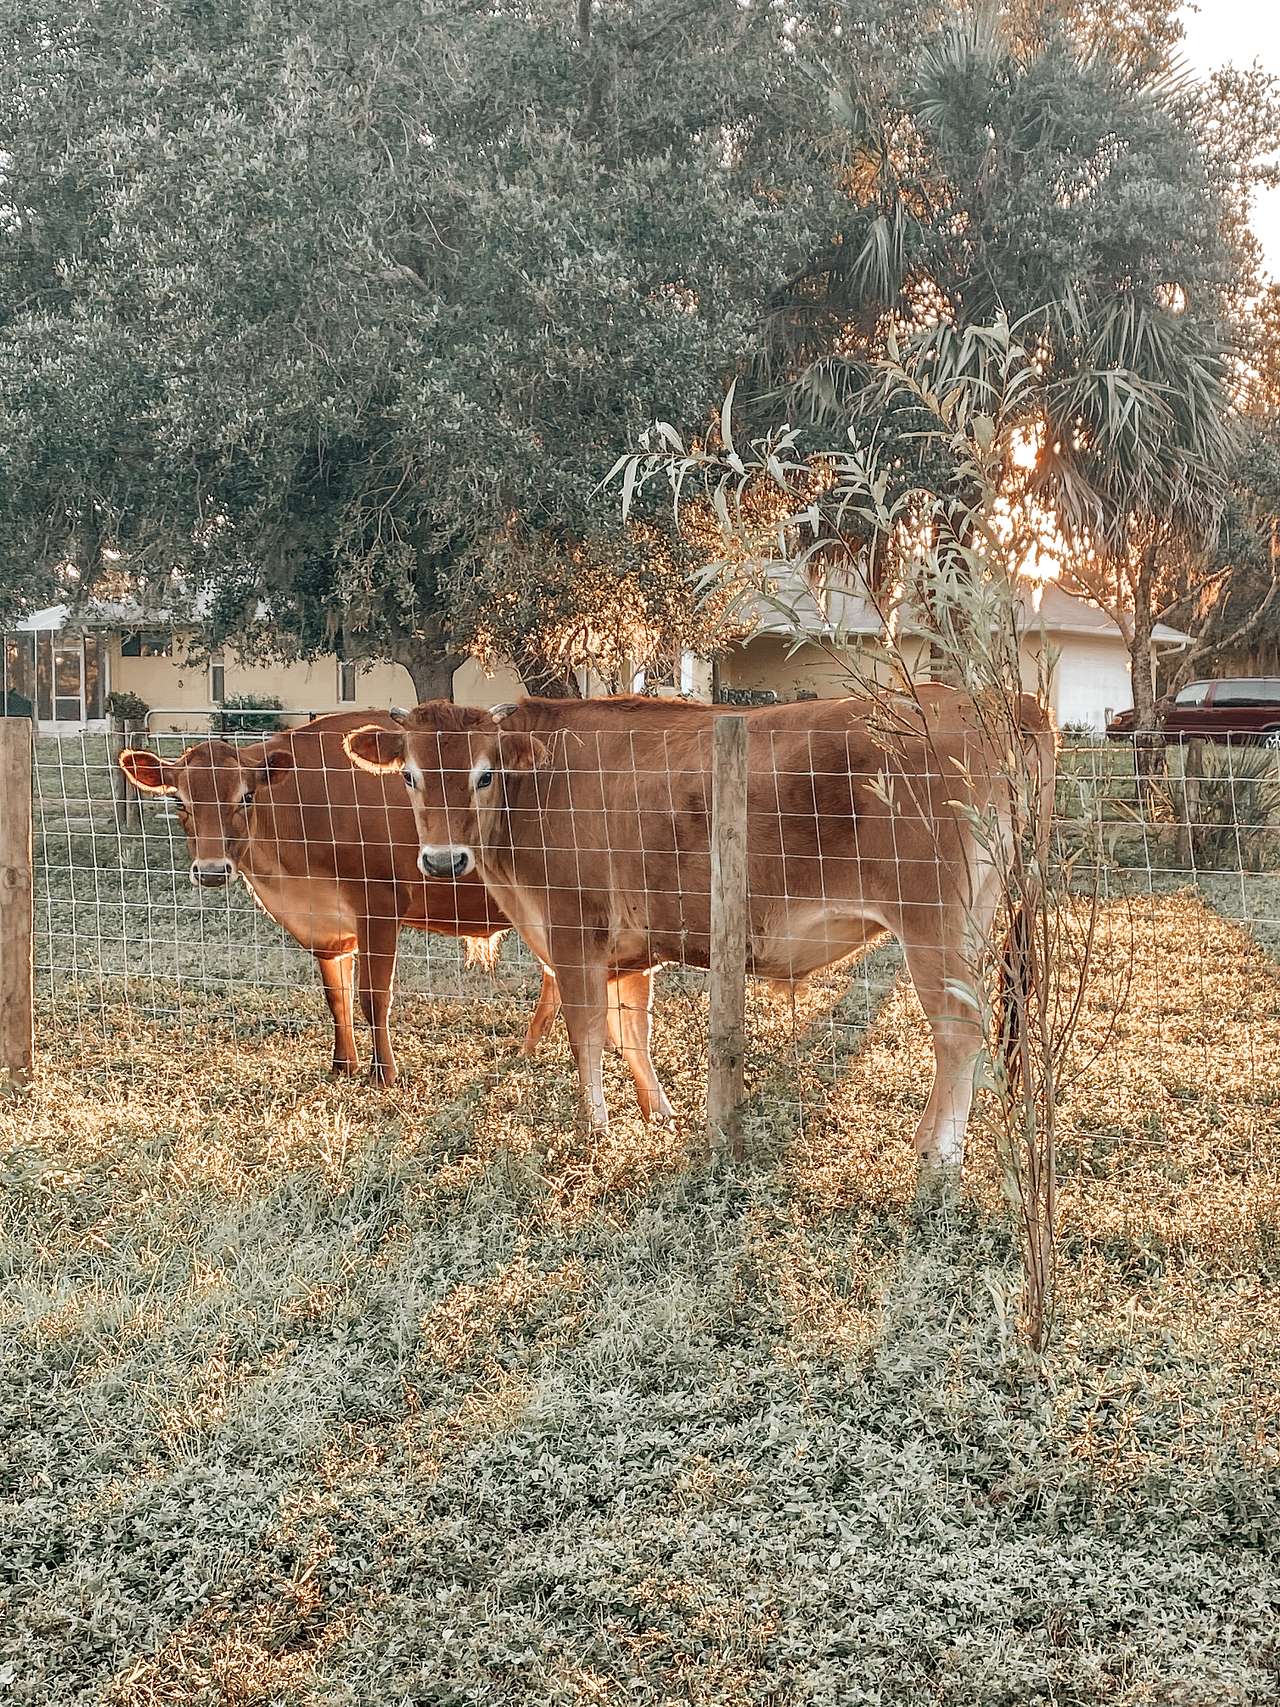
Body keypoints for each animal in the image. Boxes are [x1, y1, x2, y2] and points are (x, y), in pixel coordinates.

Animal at [117, 710, 562, 1083]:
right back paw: (527, 1050)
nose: (211, 870)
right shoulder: (327, 927)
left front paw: (384, 1073)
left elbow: (373, 997)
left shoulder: (379, 905)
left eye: (245, 796)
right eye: (179, 800)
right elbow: (337, 997)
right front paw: (343, 1064)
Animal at [344, 691, 1056, 1164]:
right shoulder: (631, 946)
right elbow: (633, 1030)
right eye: (409, 776)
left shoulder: (573, 930)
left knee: (959, 1030)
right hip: (977, 917)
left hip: (935, 923)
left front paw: (594, 1129)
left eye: (484, 773)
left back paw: (936, 1157)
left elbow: (587, 1033)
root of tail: (994, 700)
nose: (443, 861)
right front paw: (657, 1113)